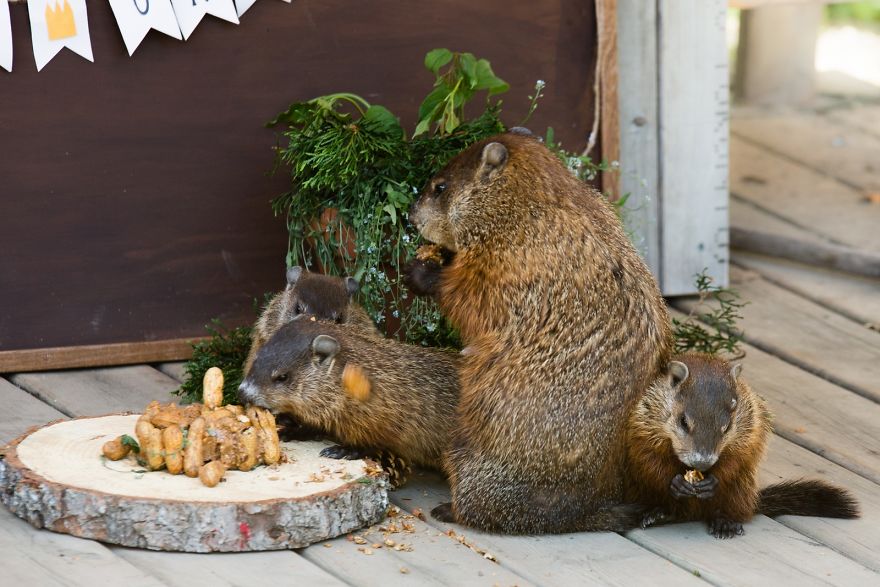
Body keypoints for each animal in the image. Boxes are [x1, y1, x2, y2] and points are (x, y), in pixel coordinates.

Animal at [237, 318, 460, 482]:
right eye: (255, 359)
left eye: (282, 376)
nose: (242, 393)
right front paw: (291, 429)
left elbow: (378, 435)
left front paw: (343, 450)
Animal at [407, 131, 672, 533]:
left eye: (440, 187)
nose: (411, 214)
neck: (522, 204)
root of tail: (582, 510)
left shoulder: (516, 259)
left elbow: (475, 297)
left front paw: (425, 272)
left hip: (475, 456)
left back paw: (452, 509)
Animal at [626, 353, 860, 538]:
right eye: (683, 421)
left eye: (727, 426)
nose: (703, 462)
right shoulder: (645, 415)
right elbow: (647, 452)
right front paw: (675, 482)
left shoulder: (749, 422)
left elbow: (740, 454)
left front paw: (714, 479)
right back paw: (657, 514)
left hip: (742, 486)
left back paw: (725, 522)